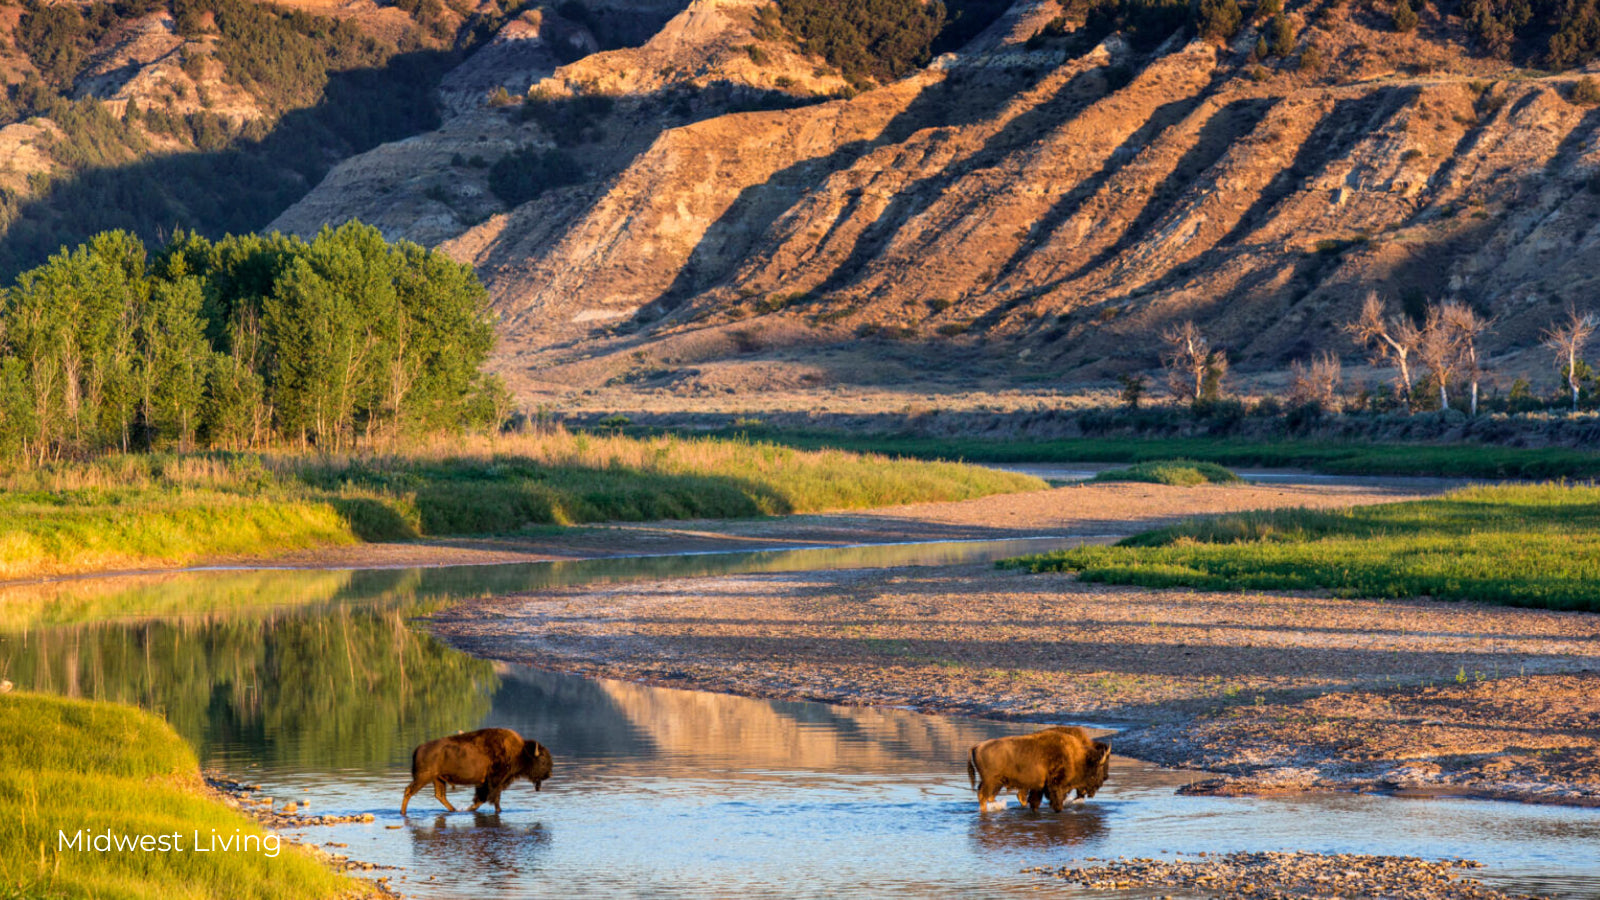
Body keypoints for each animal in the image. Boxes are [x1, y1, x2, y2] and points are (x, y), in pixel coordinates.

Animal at [403, 720, 553, 813]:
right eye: (543, 760)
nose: (549, 774)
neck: (521, 752)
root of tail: (418, 749)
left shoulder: (488, 784)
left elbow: (483, 799)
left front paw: (470, 809)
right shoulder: (494, 782)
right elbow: (490, 799)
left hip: (438, 779)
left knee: (440, 796)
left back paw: (454, 810)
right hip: (423, 778)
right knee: (409, 791)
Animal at [960, 723, 1113, 810]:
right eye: (1100, 767)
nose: (1105, 778)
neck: (1077, 757)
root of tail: (977, 746)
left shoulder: (1038, 787)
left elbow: (1033, 801)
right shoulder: (1056, 787)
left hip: (995, 783)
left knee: (988, 797)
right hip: (991, 782)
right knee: (983, 796)